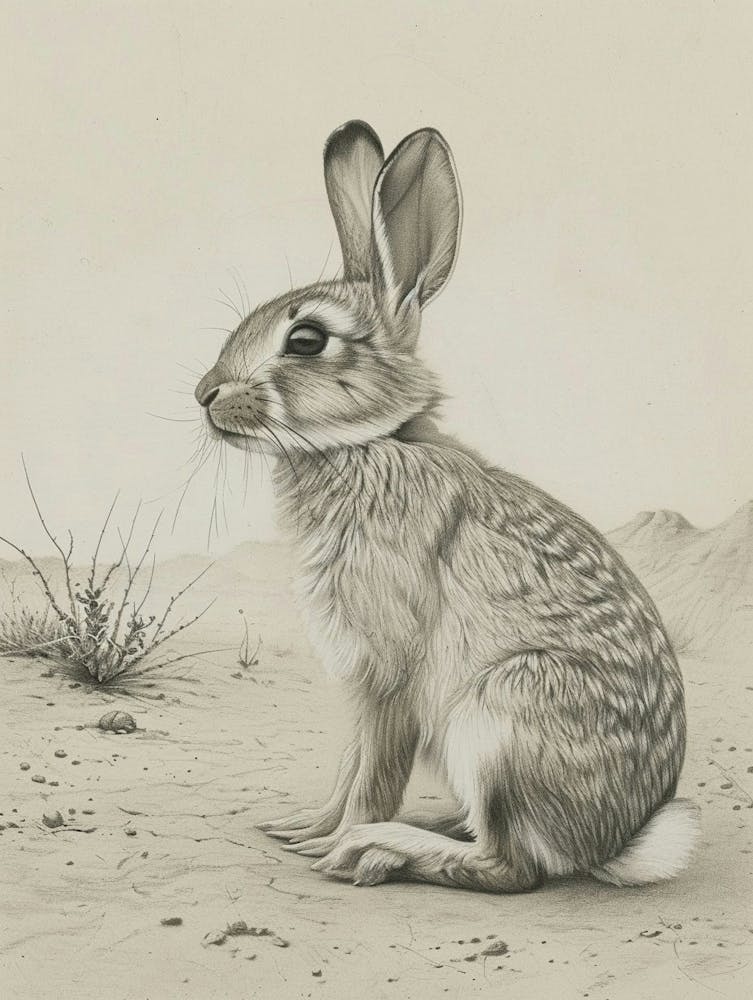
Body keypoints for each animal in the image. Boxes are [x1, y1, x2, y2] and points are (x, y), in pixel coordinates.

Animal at [195, 120, 699, 892]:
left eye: (306, 339)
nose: (204, 394)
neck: (368, 444)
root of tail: (615, 841)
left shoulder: (389, 673)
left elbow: (373, 775)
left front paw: (331, 846)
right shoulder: (361, 681)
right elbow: (348, 766)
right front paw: (301, 830)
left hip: (504, 715)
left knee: (511, 868)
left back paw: (378, 850)